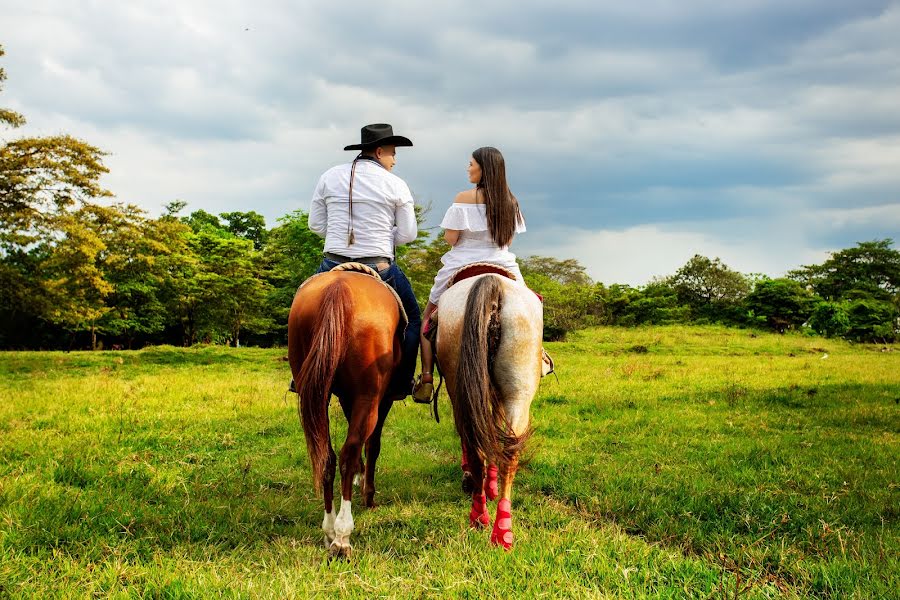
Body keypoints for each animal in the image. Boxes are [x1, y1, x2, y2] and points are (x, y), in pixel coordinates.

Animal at [288, 268, 404, 556]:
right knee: (348, 453)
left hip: (317, 391)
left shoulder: (345, 396)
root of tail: (338, 287)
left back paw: (330, 530)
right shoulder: (381, 398)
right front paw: (368, 493)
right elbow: (373, 444)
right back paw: (342, 536)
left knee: (328, 457)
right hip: (369, 396)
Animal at [434, 272, 540, 548]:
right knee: (508, 450)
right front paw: (490, 484)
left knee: (479, 446)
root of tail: (492, 282)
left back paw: (483, 517)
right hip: (516, 391)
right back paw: (500, 527)